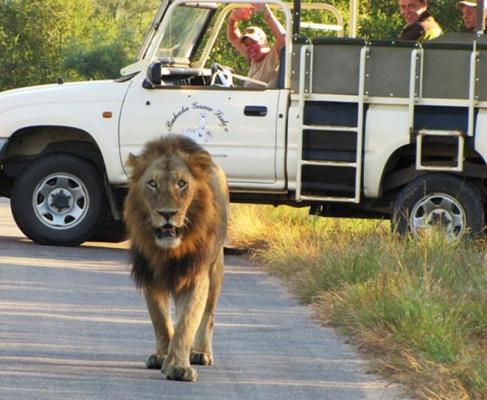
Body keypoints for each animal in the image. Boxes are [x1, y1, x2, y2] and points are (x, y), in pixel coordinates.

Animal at [122, 134, 229, 382]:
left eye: (182, 184)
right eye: (152, 184)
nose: (167, 213)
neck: (169, 251)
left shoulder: (196, 276)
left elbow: (187, 322)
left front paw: (178, 367)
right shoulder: (151, 276)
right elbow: (161, 321)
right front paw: (163, 356)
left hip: (215, 270)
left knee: (207, 316)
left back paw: (200, 353)